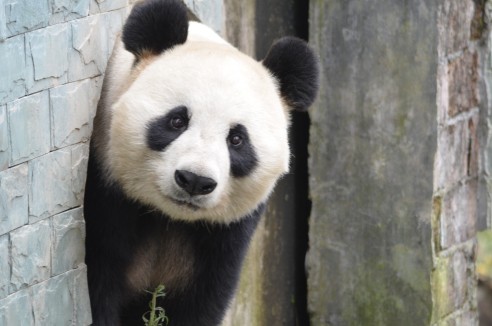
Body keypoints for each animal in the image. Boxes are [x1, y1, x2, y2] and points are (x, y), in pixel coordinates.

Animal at [84, 0, 320, 324]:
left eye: (237, 139)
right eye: (177, 120)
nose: (195, 180)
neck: (168, 217)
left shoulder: (223, 237)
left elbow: (203, 303)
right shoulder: (106, 195)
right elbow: (100, 280)